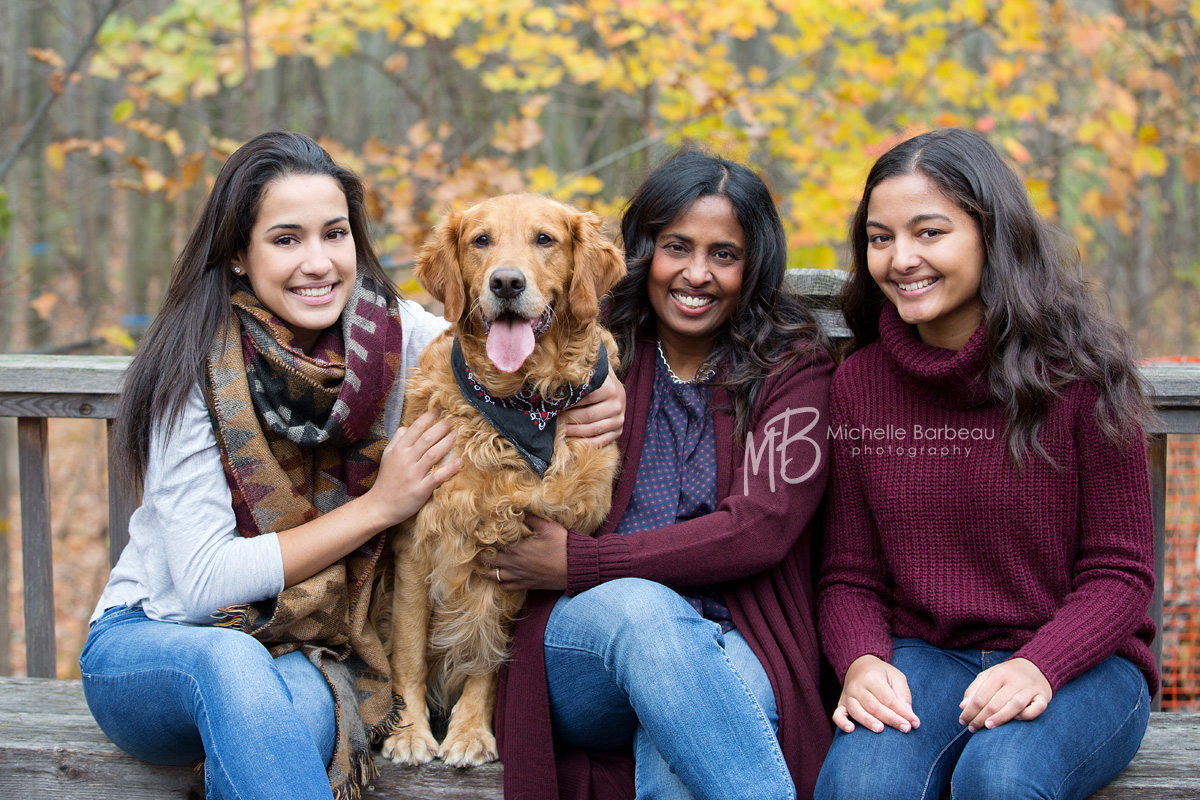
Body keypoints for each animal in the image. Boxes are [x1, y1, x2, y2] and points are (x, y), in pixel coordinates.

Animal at [381, 195, 628, 767]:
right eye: (481, 240)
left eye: (545, 239)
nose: (507, 283)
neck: (518, 405)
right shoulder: (415, 545)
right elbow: (408, 652)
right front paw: (410, 732)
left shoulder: (518, 554)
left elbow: (487, 660)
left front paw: (471, 731)